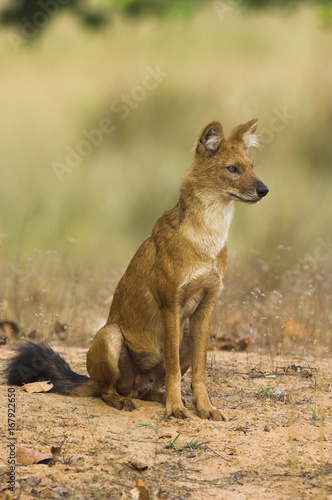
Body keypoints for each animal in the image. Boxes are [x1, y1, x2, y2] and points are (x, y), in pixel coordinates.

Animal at [5, 119, 268, 420]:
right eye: (232, 169)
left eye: (251, 166)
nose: (264, 190)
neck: (207, 238)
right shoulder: (170, 305)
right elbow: (174, 368)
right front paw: (176, 408)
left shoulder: (205, 308)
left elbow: (199, 372)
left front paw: (204, 407)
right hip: (110, 336)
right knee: (107, 391)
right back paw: (126, 400)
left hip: (184, 337)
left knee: (147, 388)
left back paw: (159, 396)